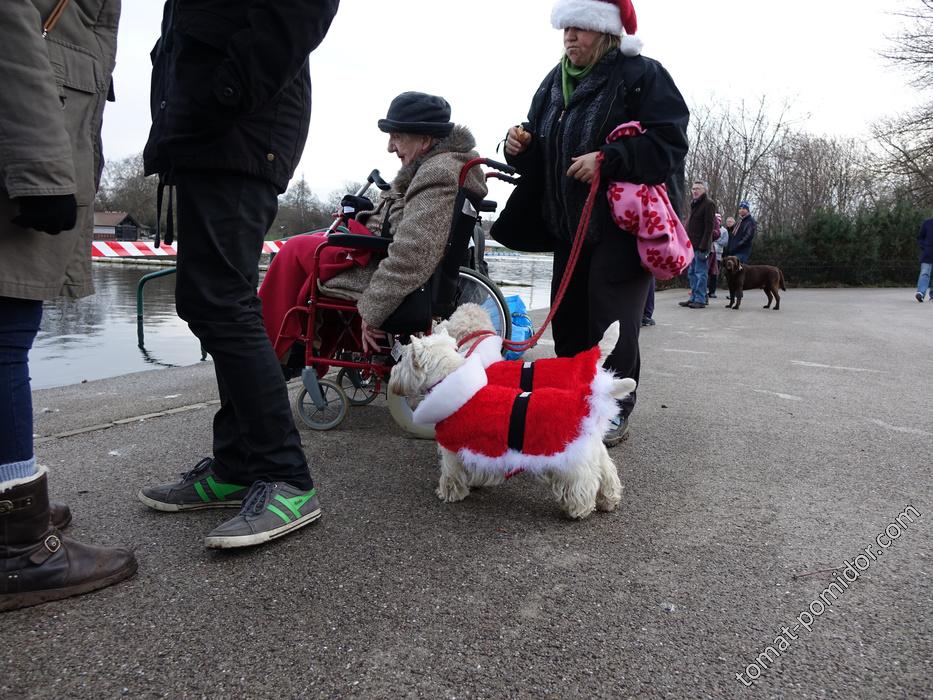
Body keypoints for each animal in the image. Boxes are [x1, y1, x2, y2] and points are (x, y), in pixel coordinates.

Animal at [386, 306, 632, 520]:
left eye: (404, 358)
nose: (392, 375)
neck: (450, 379)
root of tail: (584, 395)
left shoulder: (452, 447)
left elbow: (451, 473)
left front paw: (448, 493)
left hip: (571, 455)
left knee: (582, 481)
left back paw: (577, 509)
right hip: (591, 445)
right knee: (607, 471)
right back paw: (609, 500)